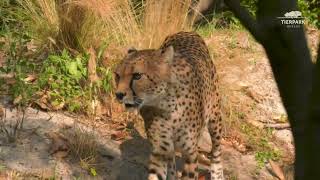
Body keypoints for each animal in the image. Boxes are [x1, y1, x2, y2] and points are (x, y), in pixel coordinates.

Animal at [114, 31, 222, 179]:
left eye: (137, 76)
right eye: (117, 75)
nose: (119, 94)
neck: (166, 104)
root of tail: (187, 32)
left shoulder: (190, 153)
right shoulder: (160, 150)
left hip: (215, 119)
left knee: (217, 151)